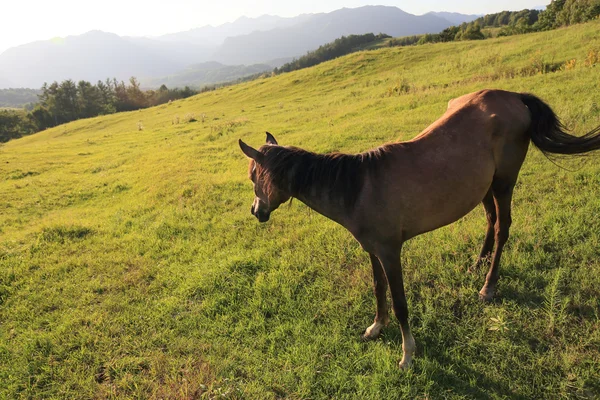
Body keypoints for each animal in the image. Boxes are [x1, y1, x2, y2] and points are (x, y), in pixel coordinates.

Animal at [238, 90, 600, 368]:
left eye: (253, 176)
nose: (257, 212)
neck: (358, 188)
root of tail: (514, 97)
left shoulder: (390, 252)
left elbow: (400, 302)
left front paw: (407, 354)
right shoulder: (373, 250)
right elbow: (378, 288)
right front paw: (375, 327)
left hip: (503, 182)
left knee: (503, 228)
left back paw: (488, 286)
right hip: (482, 186)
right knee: (491, 220)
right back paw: (477, 264)